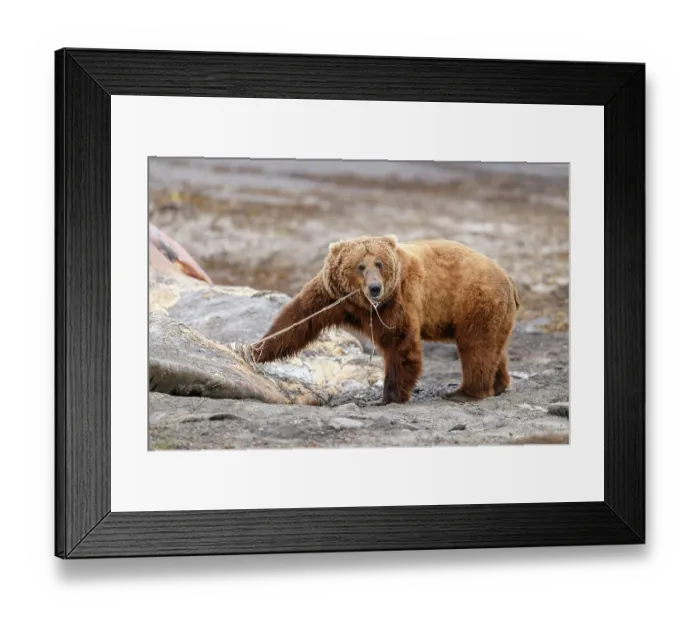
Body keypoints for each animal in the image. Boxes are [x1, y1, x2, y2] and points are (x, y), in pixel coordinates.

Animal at [252, 235, 520, 405]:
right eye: (360, 266)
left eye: (379, 264)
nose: (375, 288)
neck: (362, 304)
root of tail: (508, 277)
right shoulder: (330, 296)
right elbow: (296, 321)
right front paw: (256, 350)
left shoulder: (398, 299)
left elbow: (399, 343)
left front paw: (390, 395)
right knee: (494, 348)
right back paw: (499, 385)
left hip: (475, 301)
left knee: (477, 347)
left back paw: (464, 392)